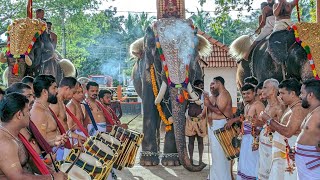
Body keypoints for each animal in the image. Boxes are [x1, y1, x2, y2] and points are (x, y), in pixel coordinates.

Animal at [130, 18, 212, 172]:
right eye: (160, 56)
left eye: (192, 59)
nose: (202, 165)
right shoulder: (147, 69)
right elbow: (150, 105)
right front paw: (148, 162)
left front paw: (172, 162)